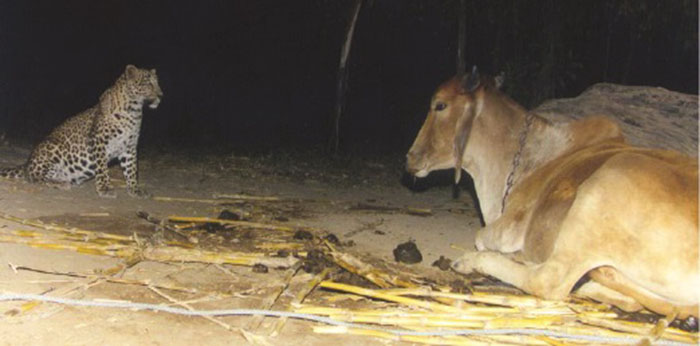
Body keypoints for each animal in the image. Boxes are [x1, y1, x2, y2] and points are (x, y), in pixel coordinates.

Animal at [0, 65, 163, 199]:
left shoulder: (129, 147)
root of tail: (26, 164)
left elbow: (132, 170)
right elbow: (103, 169)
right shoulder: (99, 142)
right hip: (52, 147)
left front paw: (135, 190)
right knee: (34, 177)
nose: (161, 95)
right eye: (148, 83)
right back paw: (59, 183)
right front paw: (104, 189)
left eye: (157, 83)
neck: (134, 111)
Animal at [408, 67, 696, 318]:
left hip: (603, 188)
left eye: (440, 105)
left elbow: (481, 236)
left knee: (548, 281)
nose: (411, 157)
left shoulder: (510, 227)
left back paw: (474, 261)